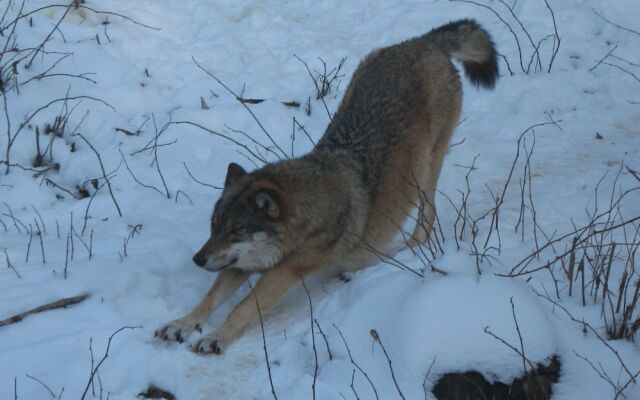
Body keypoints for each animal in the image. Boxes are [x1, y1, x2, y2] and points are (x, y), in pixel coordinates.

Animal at [156, 18, 500, 354]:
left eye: (236, 230)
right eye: (214, 227)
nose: (198, 260)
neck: (309, 211)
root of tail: (423, 41)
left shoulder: (285, 271)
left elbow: (241, 309)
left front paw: (216, 337)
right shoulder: (239, 264)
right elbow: (210, 298)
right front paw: (181, 324)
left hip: (428, 167)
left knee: (427, 217)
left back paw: (403, 252)